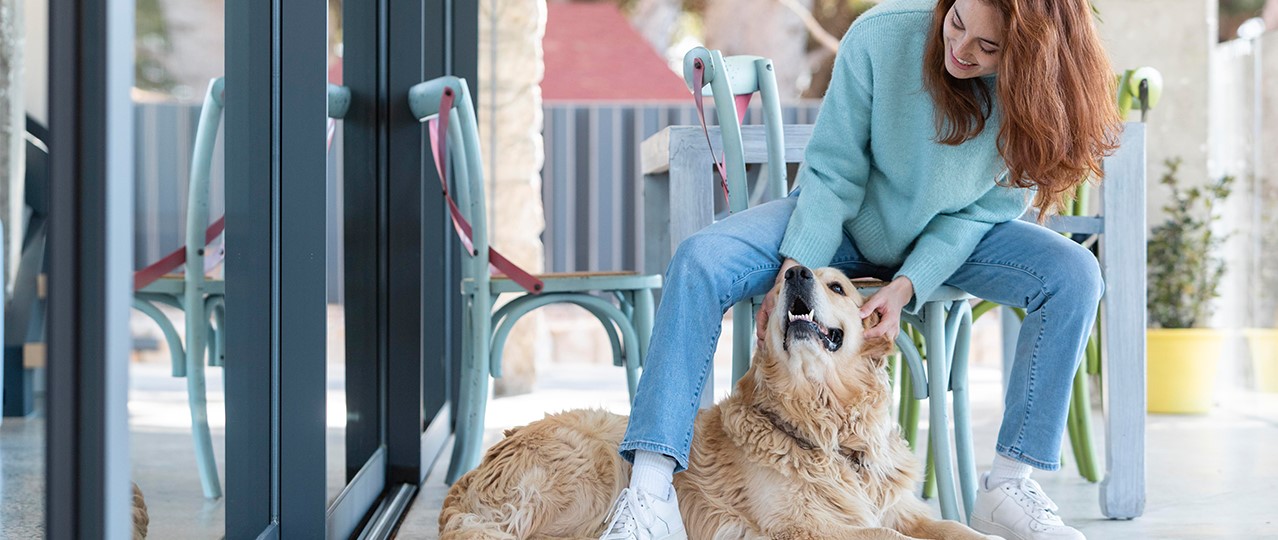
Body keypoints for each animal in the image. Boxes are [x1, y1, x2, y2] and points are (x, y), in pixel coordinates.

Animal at [439, 268, 996, 540]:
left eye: (838, 286)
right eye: (784, 280)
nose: (794, 273)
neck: (827, 428)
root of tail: (471, 476)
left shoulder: (898, 508)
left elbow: (952, 526)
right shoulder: (805, 525)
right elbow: (887, 537)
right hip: (591, 464)